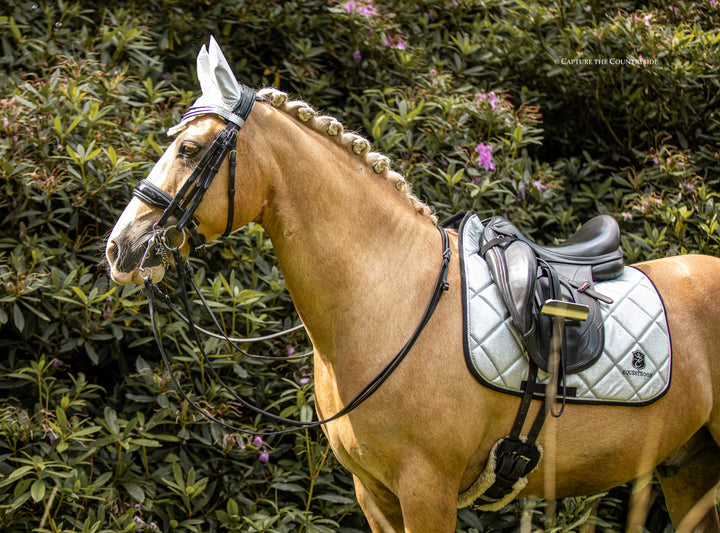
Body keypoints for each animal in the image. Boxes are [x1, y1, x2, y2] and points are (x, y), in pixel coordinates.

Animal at [107, 86, 720, 528]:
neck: (390, 299)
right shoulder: (374, 494)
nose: (120, 248)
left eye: (188, 149)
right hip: (688, 470)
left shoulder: (427, 490)